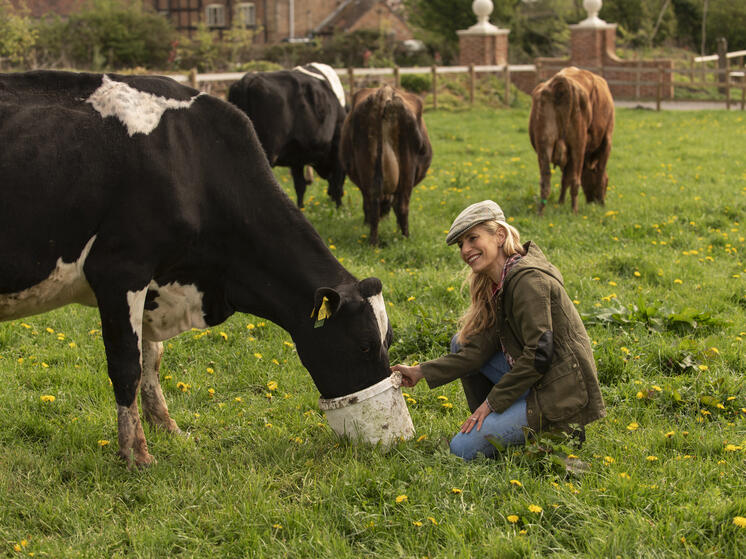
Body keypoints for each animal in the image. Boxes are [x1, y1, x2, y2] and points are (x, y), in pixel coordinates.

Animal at [227, 61, 346, 210]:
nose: (332, 197)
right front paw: (339, 208)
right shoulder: (337, 145)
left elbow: (300, 186)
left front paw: (301, 208)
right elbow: (337, 181)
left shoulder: (297, 156)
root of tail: (248, 79)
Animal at [338, 85, 430, 245]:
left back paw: (374, 242)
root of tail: (385, 92)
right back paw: (405, 238)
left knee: (374, 203)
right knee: (400, 206)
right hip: (407, 168)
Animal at [528, 65, 612, 214]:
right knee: (575, 180)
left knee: (545, 180)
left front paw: (560, 202)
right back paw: (575, 211)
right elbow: (601, 173)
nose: (595, 201)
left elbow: (564, 177)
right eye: (608, 182)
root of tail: (561, 82)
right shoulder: (607, 140)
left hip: (544, 144)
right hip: (578, 145)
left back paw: (541, 213)